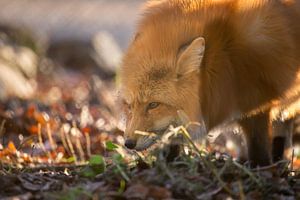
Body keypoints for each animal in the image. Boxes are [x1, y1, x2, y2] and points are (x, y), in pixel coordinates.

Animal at [120, 0, 300, 166]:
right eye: (129, 106)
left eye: (153, 104)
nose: (128, 143)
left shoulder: (256, 101)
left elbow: (258, 147)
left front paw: (259, 167)